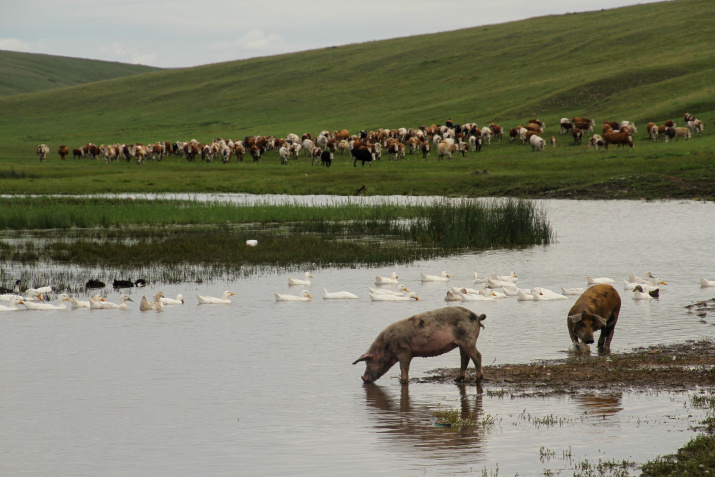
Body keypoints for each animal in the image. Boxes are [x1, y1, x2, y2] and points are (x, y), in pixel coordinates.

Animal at [352, 304, 486, 384]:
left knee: (477, 356)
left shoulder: (404, 351)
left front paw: (402, 382)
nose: (363, 378)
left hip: (468, 339)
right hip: (462, 343)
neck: (386, 347)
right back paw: (457, 379)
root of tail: (477, 317)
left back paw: (477, 379)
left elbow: (404, 367)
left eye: (368, 363)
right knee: (465, 358)